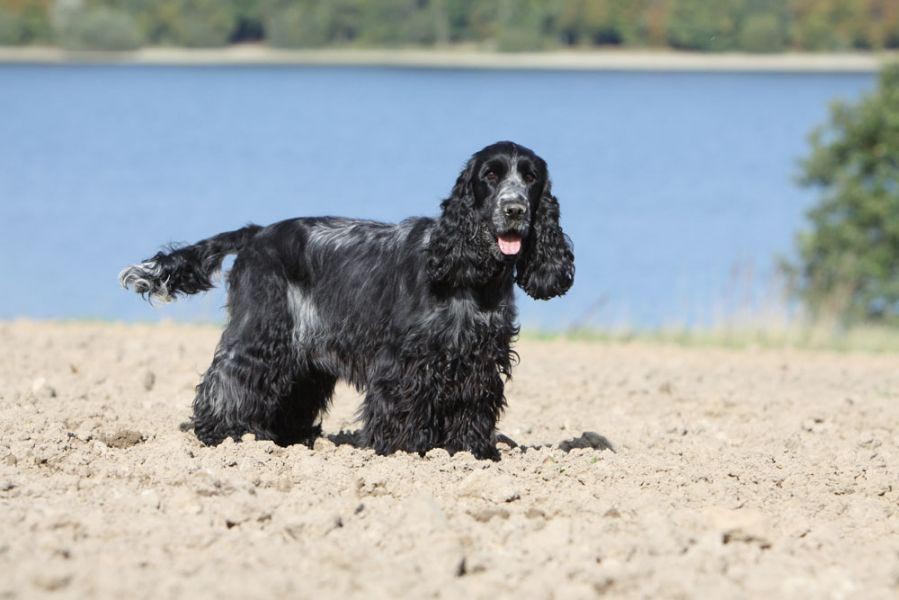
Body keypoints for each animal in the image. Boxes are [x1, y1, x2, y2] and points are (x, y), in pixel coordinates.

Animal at [119, 141, 572, 460]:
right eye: (490, 176)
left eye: (530, 177)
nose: (514, 209)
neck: (470, 277)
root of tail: (257, 232)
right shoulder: (403, 361)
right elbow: (400, 406)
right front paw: (401, 451)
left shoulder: (478, 360)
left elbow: (472, 407)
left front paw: (469, 452)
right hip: (261, 331)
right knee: (226, 379)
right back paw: (224, 435)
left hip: (301, 356)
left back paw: (284, 438)